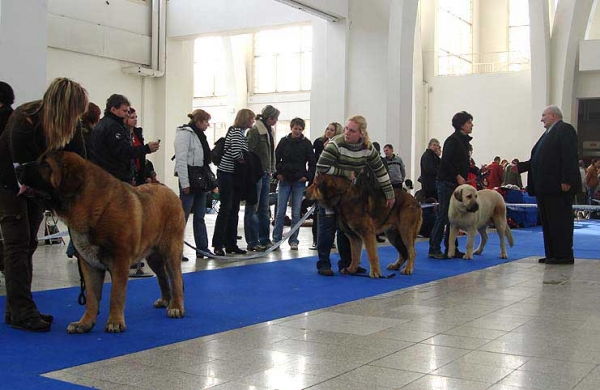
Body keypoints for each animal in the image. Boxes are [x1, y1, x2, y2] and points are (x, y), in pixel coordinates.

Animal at [17, 151, 185, 334]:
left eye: (45, 164)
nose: (17, 167)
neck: (89, 205)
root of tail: (170, 191)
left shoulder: (120, 260)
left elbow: (116, 295)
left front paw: (115, 322)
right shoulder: (89, 264)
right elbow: (91, 297)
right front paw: (84, 323)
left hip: (171, 250)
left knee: (176, 278)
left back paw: (176, 306)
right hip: (153, 256)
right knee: (162, 276)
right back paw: (165, 300)